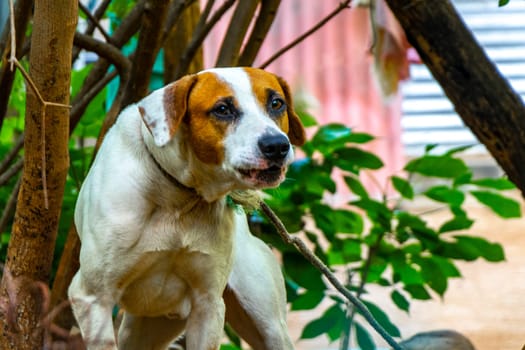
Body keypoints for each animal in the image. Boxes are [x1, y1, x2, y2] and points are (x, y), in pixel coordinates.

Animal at [69, 66, 308, 350]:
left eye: (276, 103)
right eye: (222, 109)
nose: (277, 145)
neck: (180, 197)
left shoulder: (208, 304)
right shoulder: (93, 298)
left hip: (268, 325)